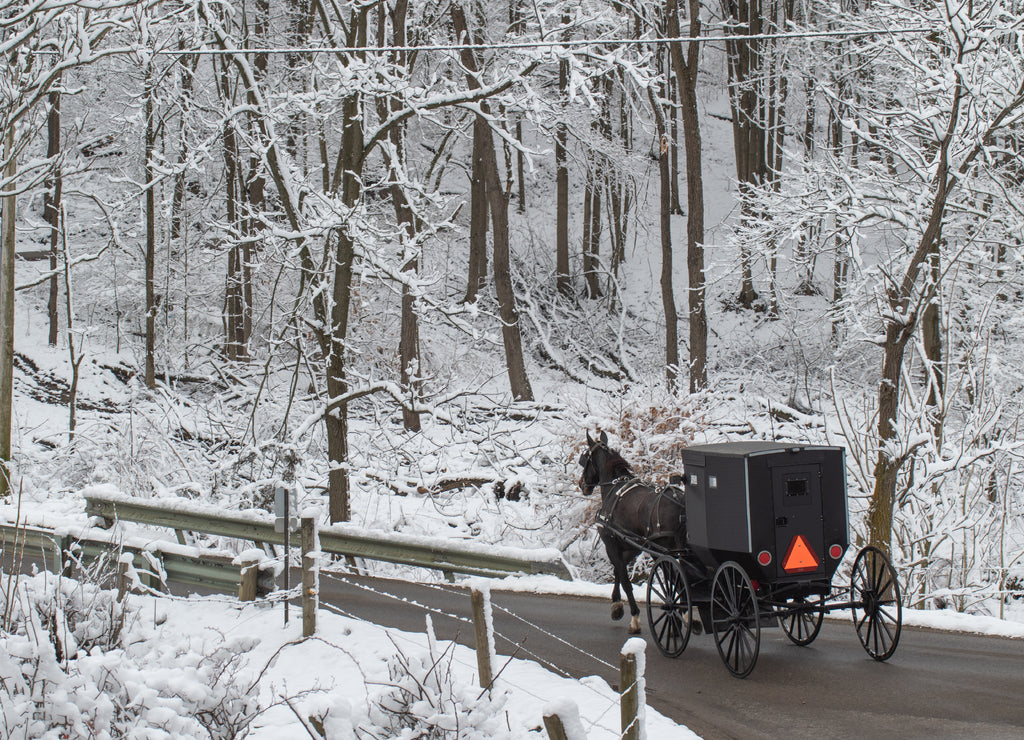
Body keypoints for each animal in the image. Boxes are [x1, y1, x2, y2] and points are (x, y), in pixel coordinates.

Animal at [577, 431, 688, 634]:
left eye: (584, 459)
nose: (582, 484)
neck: (614, 486)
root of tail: (681, 503)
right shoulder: (632, 547)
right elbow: (618, 571)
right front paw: (616, 606)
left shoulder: (611, 543)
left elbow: (625, 579)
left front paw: (634, 617)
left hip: (662, 551)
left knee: (676, 581)